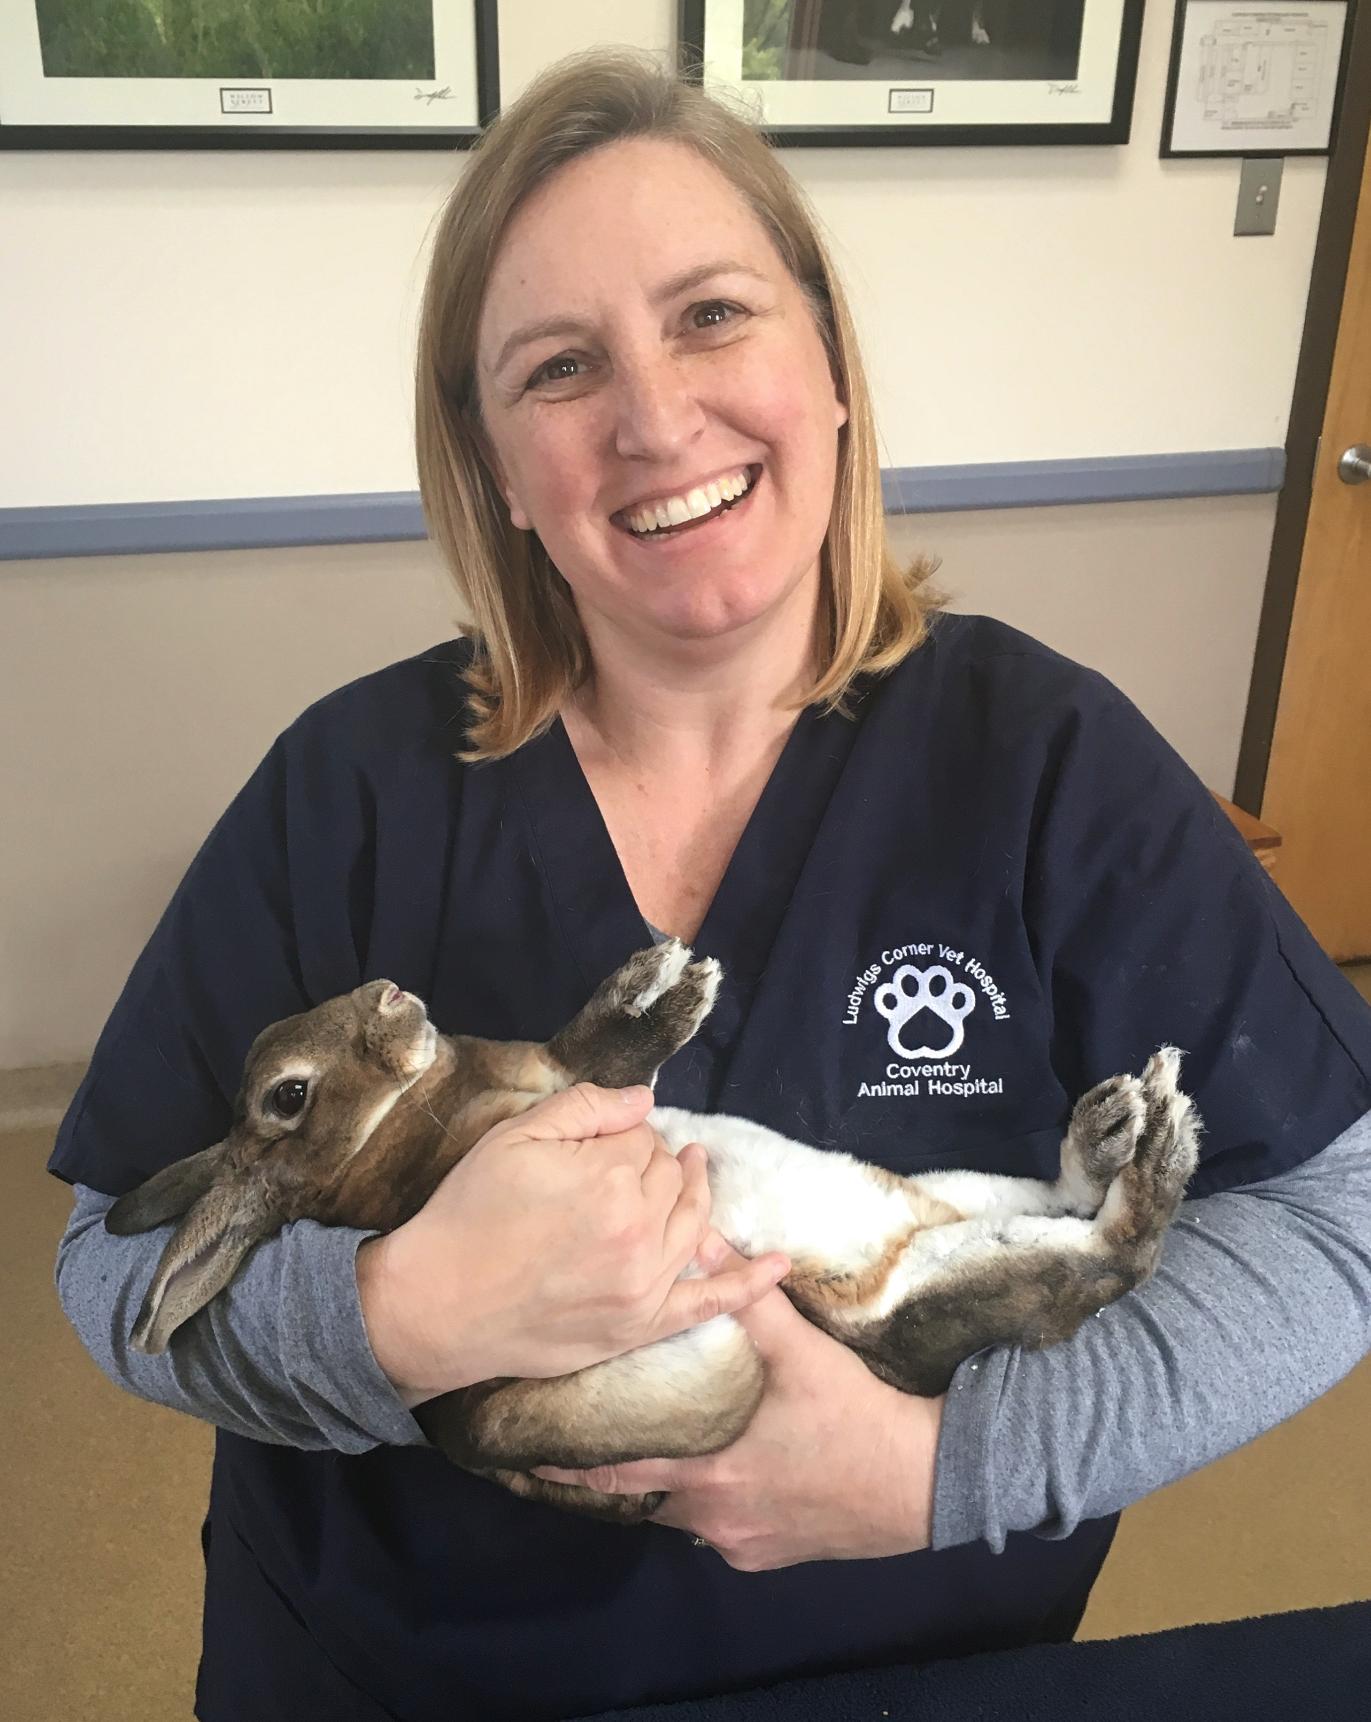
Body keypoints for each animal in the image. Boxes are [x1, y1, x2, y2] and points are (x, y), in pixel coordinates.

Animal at [105, 939, 1199, 1524]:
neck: (386, 1136)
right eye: (285, 1096)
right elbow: (612, 1053)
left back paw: (1114, 1125)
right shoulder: (574, 1099)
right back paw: (1155, 1149)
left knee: (1057, 1199)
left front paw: (657, 971)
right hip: (939, 1283)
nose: (388, 994)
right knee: (1107, 1259)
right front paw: (676, 990)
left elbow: (588, 1040)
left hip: (958, 1198)